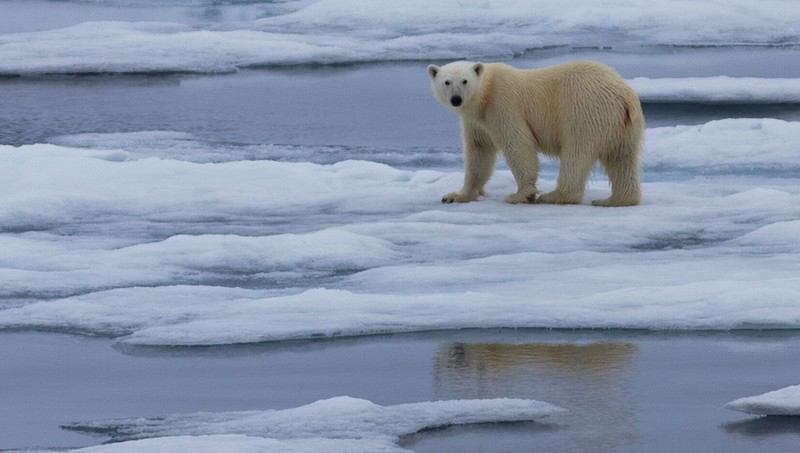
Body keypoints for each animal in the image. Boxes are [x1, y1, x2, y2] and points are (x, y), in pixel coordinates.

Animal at [424, 61, 644, 206]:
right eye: (446, 82)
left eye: (464, 81)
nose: (456, 99)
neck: (485, 94)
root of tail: (624, 95)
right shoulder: (476, 122)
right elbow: (479, 153)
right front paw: (455, 196)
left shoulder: (503, 104)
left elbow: (518, 143)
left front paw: (521, 195)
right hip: (624, 125)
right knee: (622, 159)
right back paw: (615, 199)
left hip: (583, 110)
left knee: (576, 152)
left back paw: (554, 195)